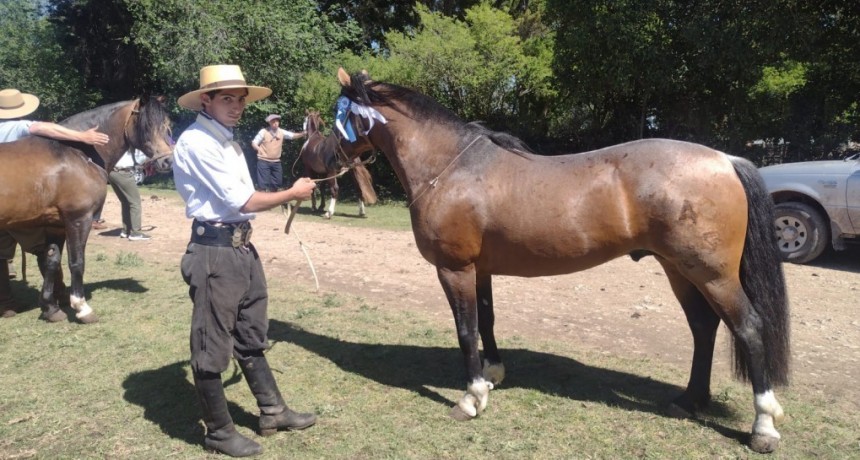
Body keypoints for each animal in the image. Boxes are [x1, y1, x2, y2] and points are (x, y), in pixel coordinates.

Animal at [0, 97, 173, 323]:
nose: (168, 160)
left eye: (167, 125)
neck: (75, 154)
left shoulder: (55, 225)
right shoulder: (79, 219)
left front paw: (50, 308)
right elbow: (77, 262)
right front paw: (82, 308)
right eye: (146, 126)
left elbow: (51, 261)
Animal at [331, 68, 790, 454]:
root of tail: (725, 160)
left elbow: (466, 330)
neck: (452, 168)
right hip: (679, 269)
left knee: (748, 328)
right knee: (703, 327)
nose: (329, 156)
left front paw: (471, 397)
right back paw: (691, 400)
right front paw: (493, 375)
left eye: (340, 116)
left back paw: (763, 426)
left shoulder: (454, 269)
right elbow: (487, 320)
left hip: (713, 276)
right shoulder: (481, 269)